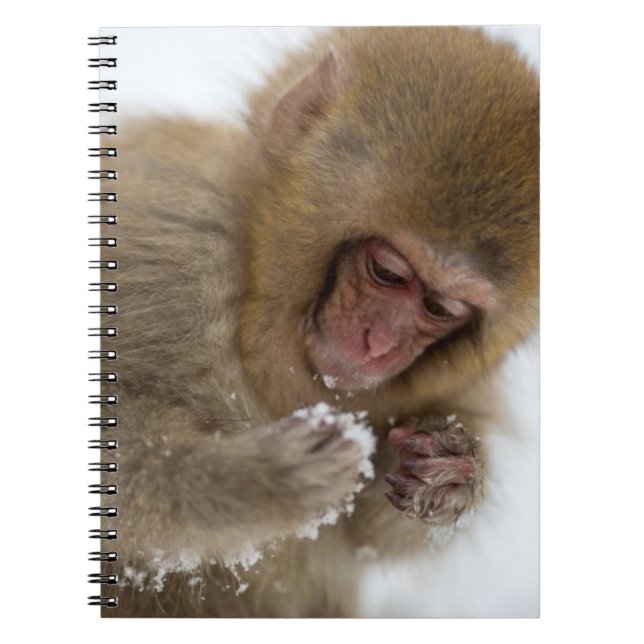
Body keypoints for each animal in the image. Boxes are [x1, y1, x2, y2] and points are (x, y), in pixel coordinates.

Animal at [98, 27, 539, 617]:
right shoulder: (171, 233)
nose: (379, 344)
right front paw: (253, 482)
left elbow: (364, 536)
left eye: (441, 309)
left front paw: (450, 474)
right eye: (387, 271)